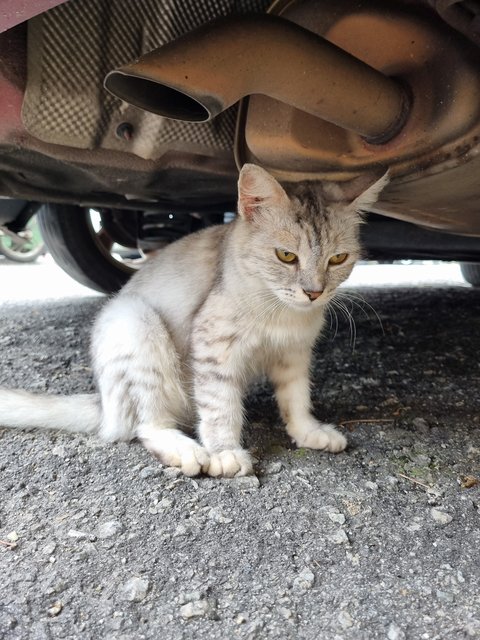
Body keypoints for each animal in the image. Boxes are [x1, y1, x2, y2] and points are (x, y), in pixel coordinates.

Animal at [0, 164, 386, 476]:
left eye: (338, 259)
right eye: (286, 256)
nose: (314, 293)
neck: (281, 312)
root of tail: (103, 404)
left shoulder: (294, 353)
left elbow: (297, 398)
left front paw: (308, 431)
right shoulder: (215, 346)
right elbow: (220, 407)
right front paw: (225, 452)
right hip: (136, 326)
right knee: (147, 426)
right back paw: (186, 450)